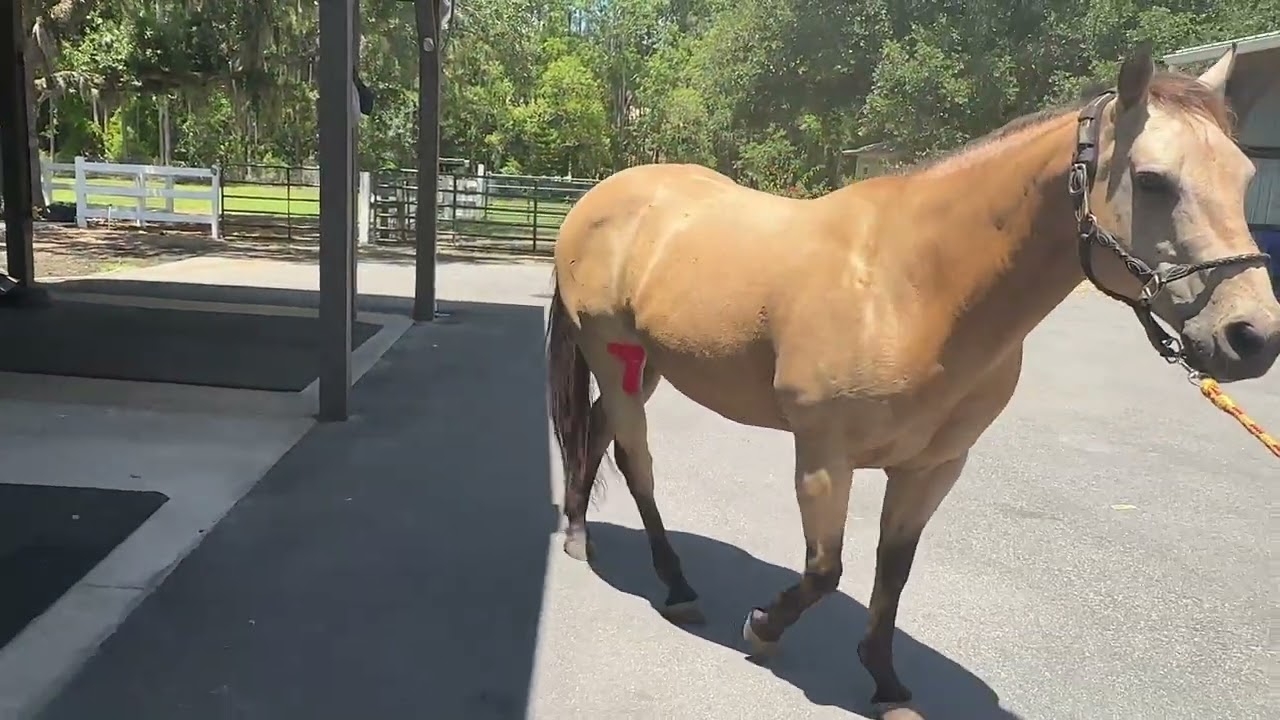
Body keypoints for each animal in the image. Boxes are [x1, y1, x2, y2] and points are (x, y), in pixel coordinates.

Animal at [544, 43, 1278, 717]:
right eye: (1152, 180)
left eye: (1245, 175)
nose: (1254, 337)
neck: (913, 286)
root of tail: (599, 198)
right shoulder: (825, 457)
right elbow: (824, 570)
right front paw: (763, 627)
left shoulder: (933, 468)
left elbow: (892, 573)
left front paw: (886, 681)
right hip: (613, 356)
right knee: (635, 460)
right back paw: (675, 586)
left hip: (645, 368)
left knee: (598, 435)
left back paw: (581, 532)